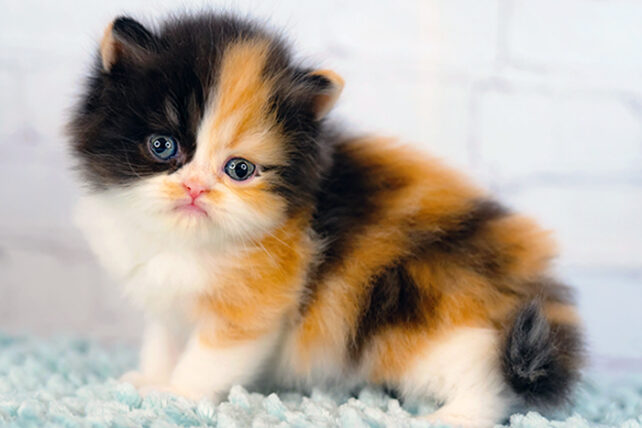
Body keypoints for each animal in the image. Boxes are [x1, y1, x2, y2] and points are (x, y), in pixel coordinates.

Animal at [67, 13, 584, 428]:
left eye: (240, 169)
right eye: (162, 146)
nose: (195, 188)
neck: (185, 241)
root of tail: (525, 278)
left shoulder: (256, 305)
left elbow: (209, 358)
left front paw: (176, 394)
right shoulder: (166, 300)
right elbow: (162, 341)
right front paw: (147, 380)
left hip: (441, 323)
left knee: (488, 378)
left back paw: (453, 416)